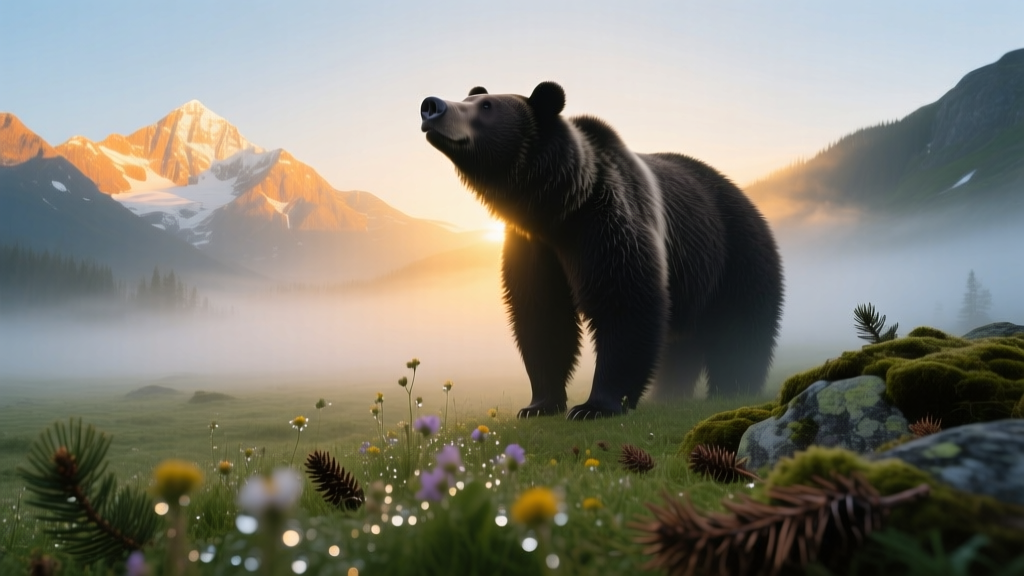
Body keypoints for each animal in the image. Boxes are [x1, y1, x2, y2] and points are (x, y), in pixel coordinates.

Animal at [420, 82, 784, 419]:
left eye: (486, 106)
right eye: (469, 97)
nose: (432, 106)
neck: (554, 208)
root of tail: (747, 198)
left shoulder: (604, 222)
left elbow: (623, 299)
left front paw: (594, 406)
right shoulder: (533, 246)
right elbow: (541, 313)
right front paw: (539, 404)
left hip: (736, 252)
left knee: (741, 325)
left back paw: (734, 389)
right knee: (680, 344)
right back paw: (669, 394)